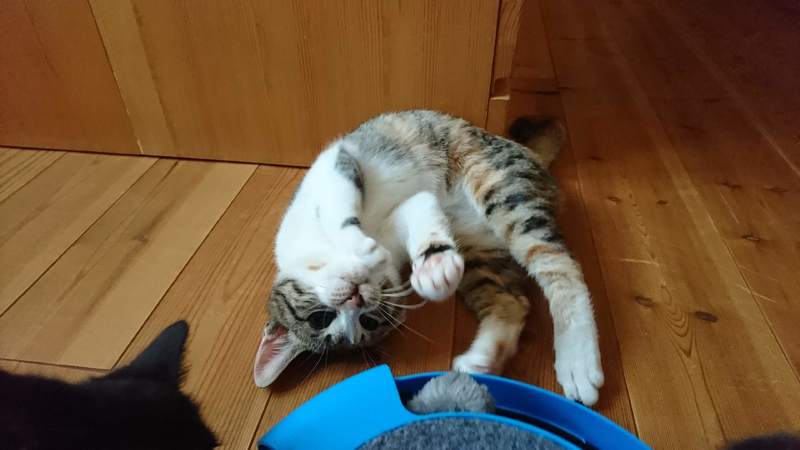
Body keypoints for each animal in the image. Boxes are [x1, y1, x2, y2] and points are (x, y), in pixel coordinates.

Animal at [253, 110, 604, 406]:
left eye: (319, 318)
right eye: (368, 322)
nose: (355, 298)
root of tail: (528, 152)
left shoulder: (335, 162)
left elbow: (338, 203)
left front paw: (359, 246)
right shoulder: (404, 217)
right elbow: (420, 206)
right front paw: (433, 269)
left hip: (499, 187)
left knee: (562, 266)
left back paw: (577, 362)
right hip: (479, 255)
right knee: (513, 301)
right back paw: (481, 360)